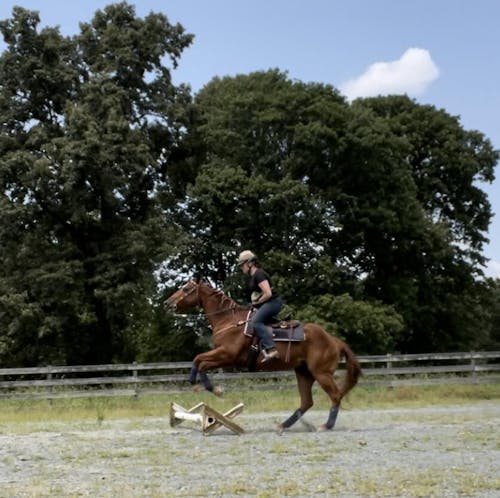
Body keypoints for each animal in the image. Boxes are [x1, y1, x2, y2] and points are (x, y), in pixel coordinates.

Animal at [166, 278, 362, 434]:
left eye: (186, 288)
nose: (168, 303)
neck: (229, 321)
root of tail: (334, 340)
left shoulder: (228, 355)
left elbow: (201, 362)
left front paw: (214, 390)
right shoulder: (221, 355)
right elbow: (198, 360)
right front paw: (198, 385)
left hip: (321, 373)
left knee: (335, 395)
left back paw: (326, 426)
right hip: (303, 373)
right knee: (307, 402)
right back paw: (283, 426)